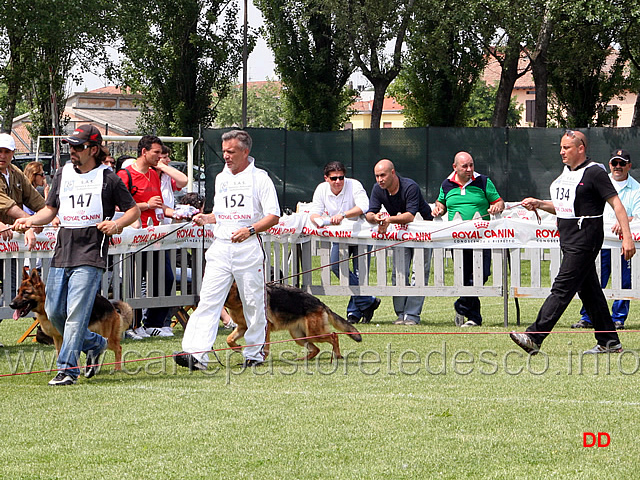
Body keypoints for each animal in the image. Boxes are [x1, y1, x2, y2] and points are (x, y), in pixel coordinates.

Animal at [226, 282, 362, 360]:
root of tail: (320, 303)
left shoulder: (265, 327)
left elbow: (265, 346)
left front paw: (261, 358)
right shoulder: (243, 327)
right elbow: (229, 339)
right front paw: (237, 348)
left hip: (314, 334)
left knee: (334, 337)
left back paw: (337, 355)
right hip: (299, 336)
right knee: (316, 349)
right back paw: (303, 359)